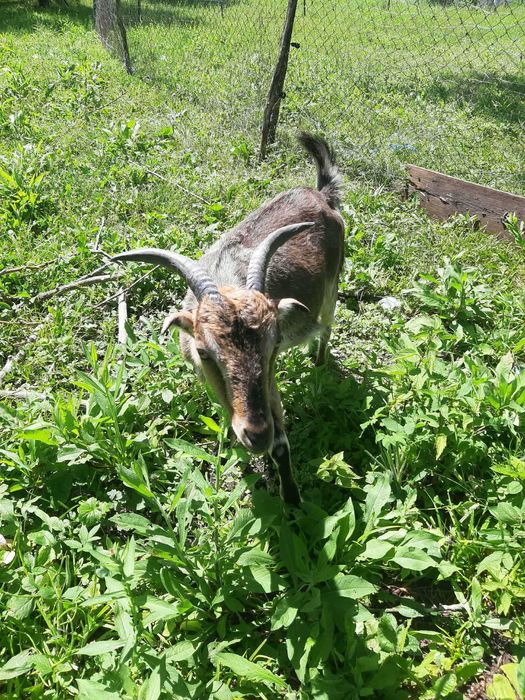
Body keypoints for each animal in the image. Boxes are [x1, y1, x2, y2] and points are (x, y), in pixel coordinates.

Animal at [111, 133, 345, 504]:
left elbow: (282, 443)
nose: (257, 434)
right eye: (205, 353)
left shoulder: (270, 381)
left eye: (273, 347)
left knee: (327, 327)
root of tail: (320, 194)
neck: (226, 278)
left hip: (333, 287)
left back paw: (319, 363)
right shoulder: (208, 378)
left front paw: (292, 500)